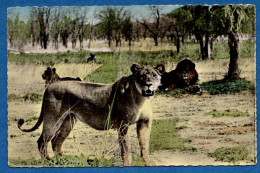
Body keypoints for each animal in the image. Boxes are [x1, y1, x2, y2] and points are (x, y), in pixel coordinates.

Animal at [18, 62, 165, 166]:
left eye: (154, 75)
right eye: (141, 76)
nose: (148, 84)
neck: (142, 99)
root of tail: (50, 86)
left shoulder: (144, 124)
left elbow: (144, 144)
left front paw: (148, 162)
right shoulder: (123, 126)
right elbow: (126, 148)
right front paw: (127, 164)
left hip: (68, 121)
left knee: (56, 142)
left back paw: (63, 161)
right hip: (53, 119)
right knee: (42, 141)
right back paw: (49, 162)